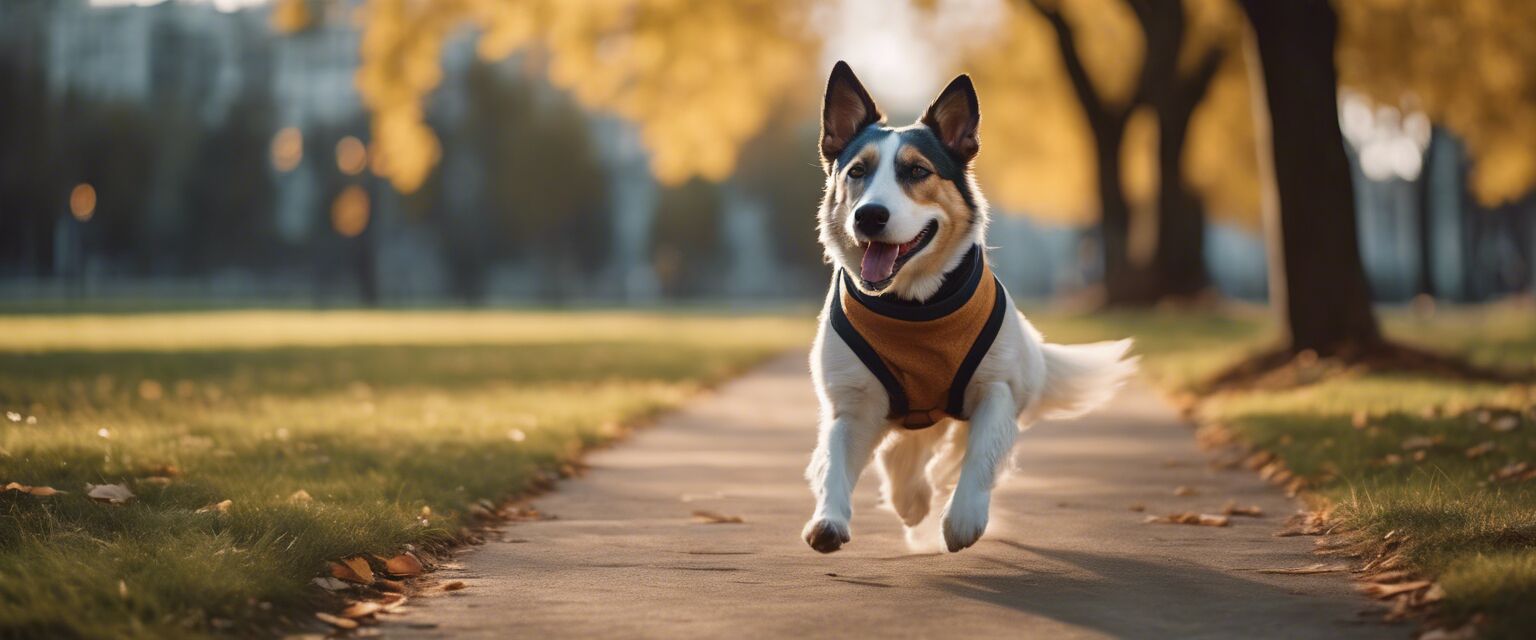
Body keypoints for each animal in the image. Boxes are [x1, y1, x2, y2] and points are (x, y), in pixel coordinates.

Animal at [804, 63, 1142, 552]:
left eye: (917, 170)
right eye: (857, 171)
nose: (869, 215)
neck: (913, 305)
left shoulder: (997, 388)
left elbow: (980, 455)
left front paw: (962, 518)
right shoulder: (851, 403)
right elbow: (833, 461)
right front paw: (828, 520)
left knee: (948, 455)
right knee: (905, 456)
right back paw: (912, 501)